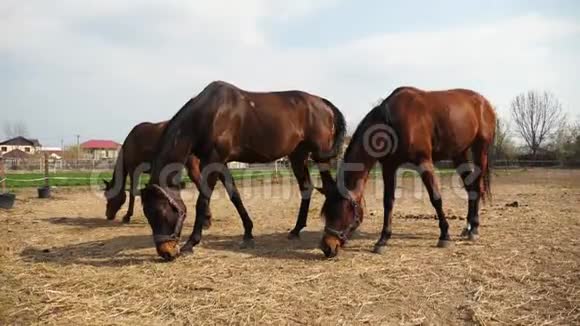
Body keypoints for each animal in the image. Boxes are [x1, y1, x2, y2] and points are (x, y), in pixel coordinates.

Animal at [141, 82, 346, 262]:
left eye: (160, 212)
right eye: (147, 214)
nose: (165, 252)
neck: (209, 114)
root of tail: (322, 103)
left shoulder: (213, 160)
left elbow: (203, 200)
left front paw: (190, 244)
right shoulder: (222, 163)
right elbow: (235, 196)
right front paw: (248, 233)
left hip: (320, 156)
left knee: (329, 188)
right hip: (298, 155)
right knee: (306, 188)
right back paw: (296, 230)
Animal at [320, 86, 496, 258]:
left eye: (340, 210)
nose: (327, 247)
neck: (392, 122)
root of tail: (484, 102)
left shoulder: (424, 162)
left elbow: (436, 198)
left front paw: (444, 236)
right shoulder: (389, 166)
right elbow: (388, 202)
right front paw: (382, 240)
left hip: (480, 149)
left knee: (477, 187)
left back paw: (474, 229)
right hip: (459, 154)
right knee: (470, 188)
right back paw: (468, 228)